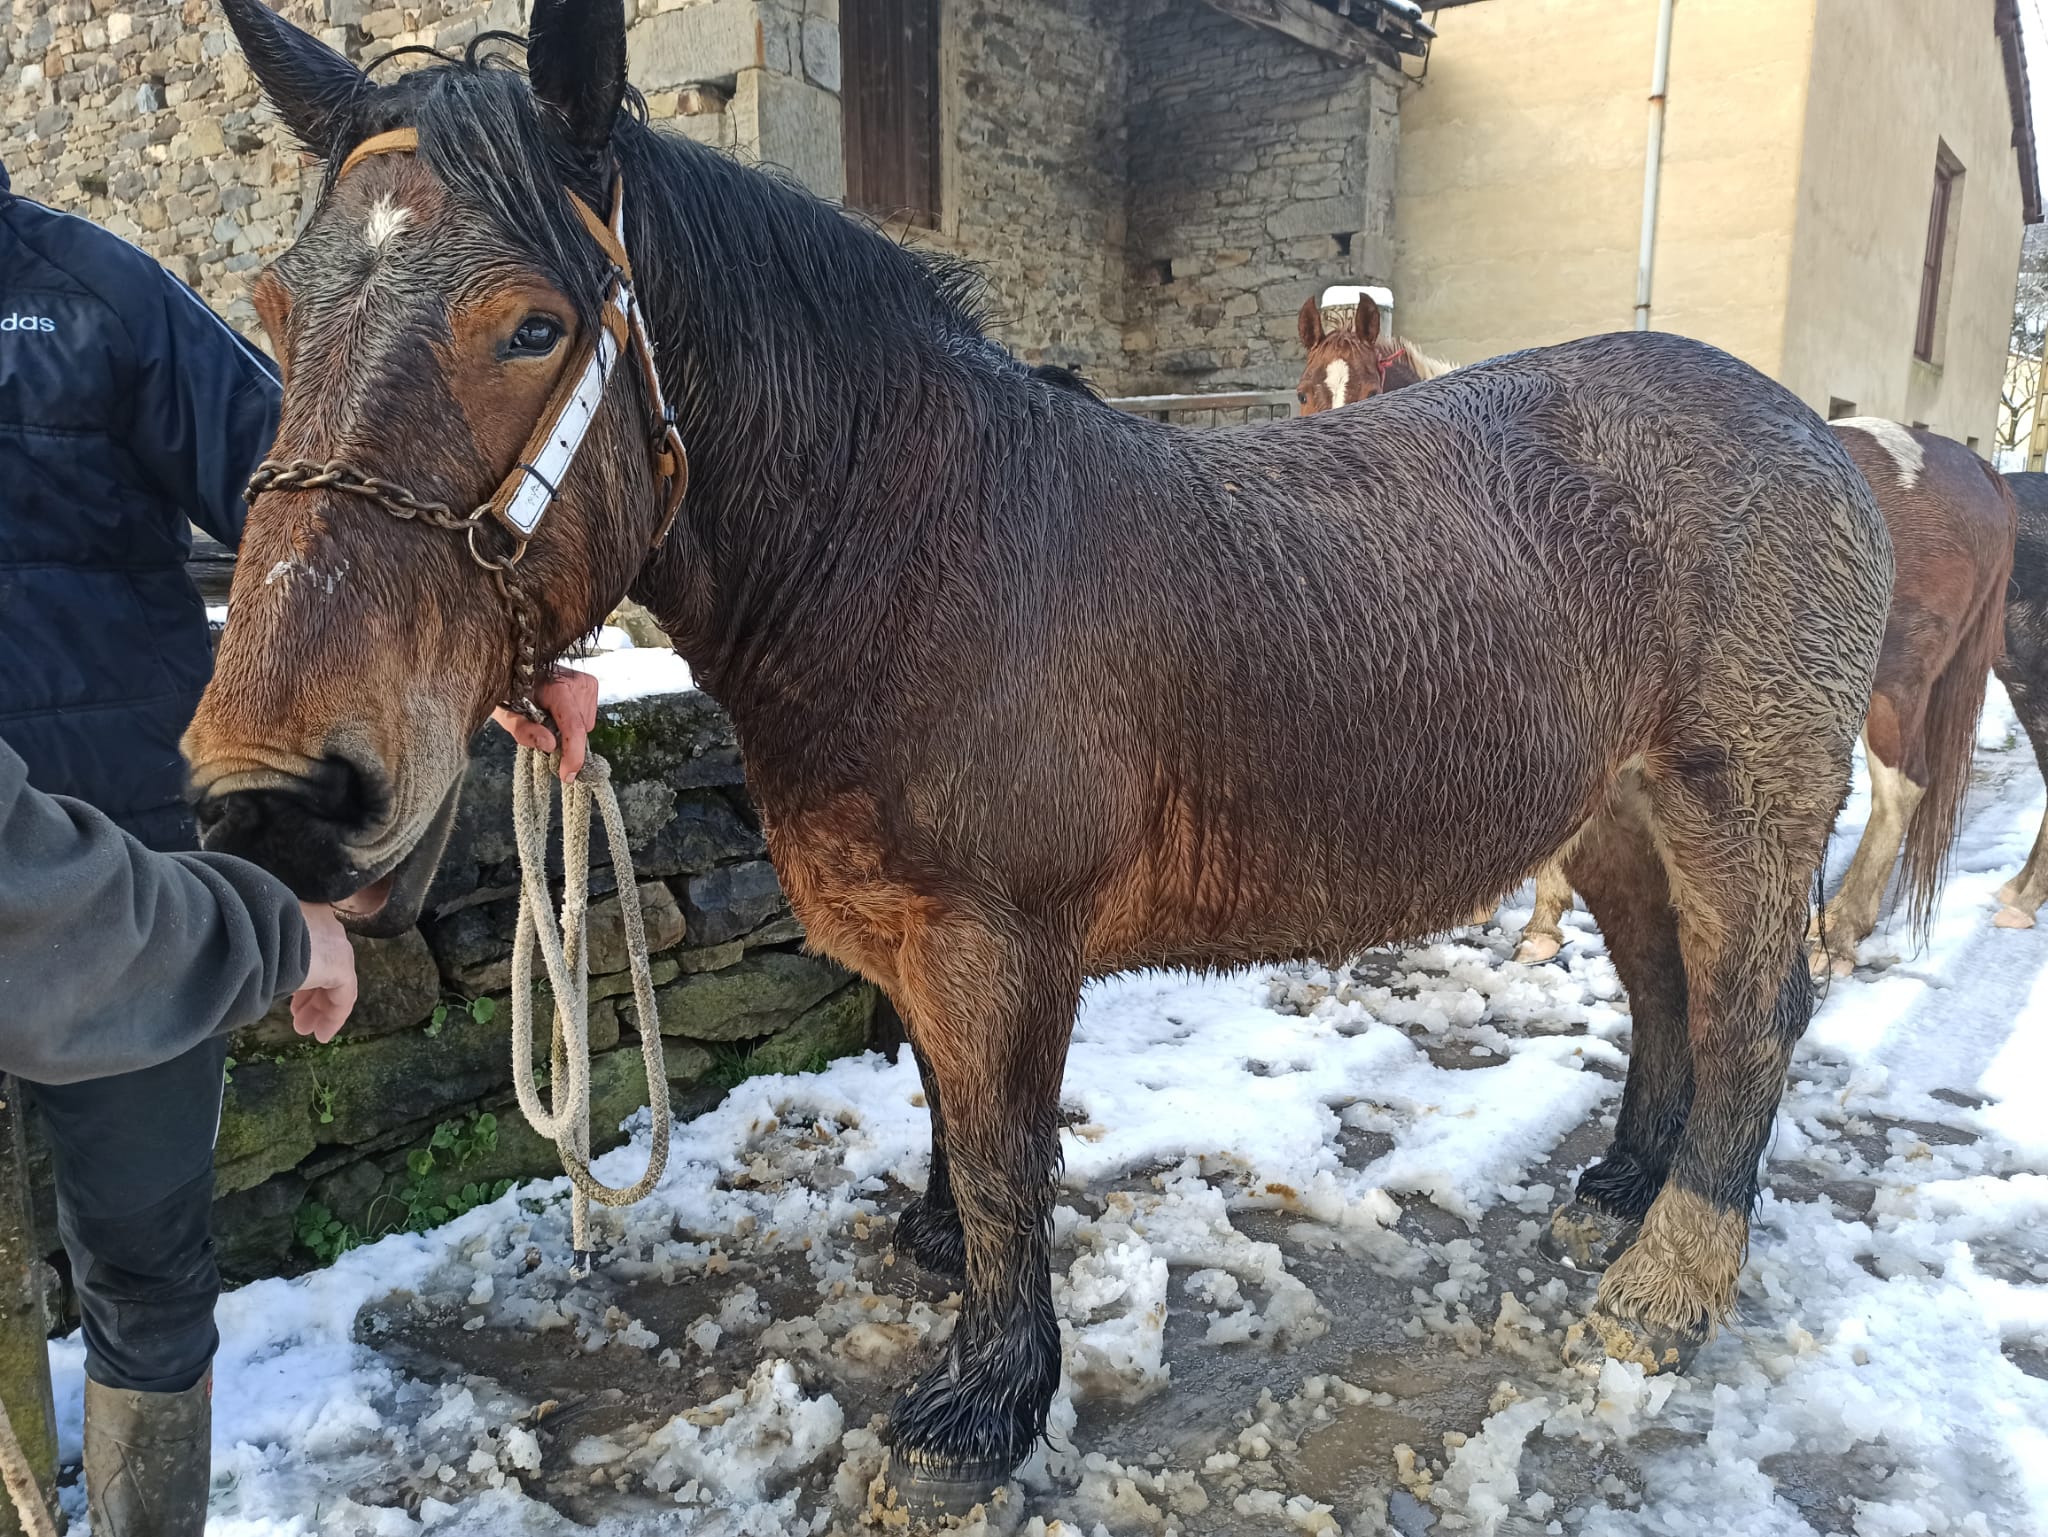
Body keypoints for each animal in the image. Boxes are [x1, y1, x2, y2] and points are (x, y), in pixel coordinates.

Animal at [188, 0, 1884, 1508]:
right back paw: (1623, 1192)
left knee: (1755, 1013)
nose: (277, 793)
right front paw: (944, 1266)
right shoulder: (925, 941)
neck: (914, 546)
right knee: (1666, 986)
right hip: (1615, 811)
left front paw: (983, 1408)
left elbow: (1011, 1154)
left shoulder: (1001, 943)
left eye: (529, 326)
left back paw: (1671, 1281)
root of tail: (1823, 438)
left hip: (1745, 804)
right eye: (273, 313)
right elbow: (954, 1119)